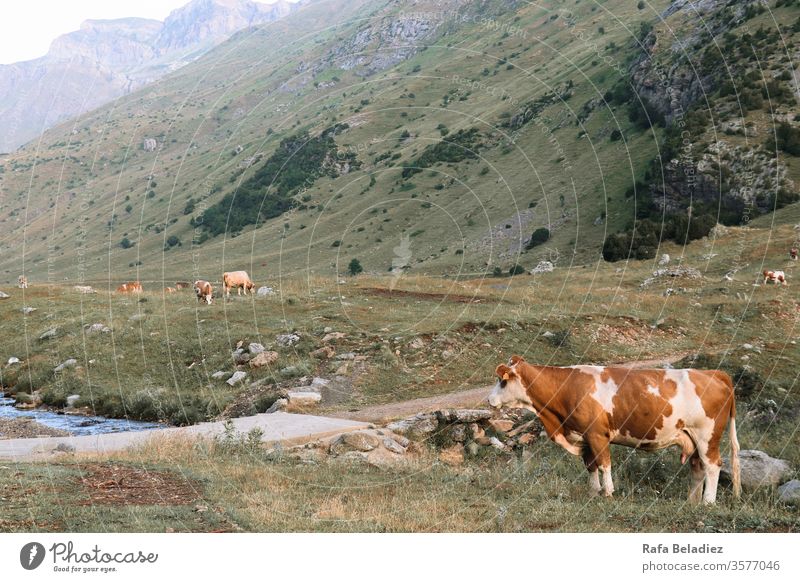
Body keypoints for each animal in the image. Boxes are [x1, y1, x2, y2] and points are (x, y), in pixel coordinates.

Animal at [488, 356, 744, 506]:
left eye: (502, 381)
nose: (489, 399)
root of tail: (713, 373)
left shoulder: (597, 435)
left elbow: (604, 464)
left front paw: (608, 492)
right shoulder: (584, 437)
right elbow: (591, 466)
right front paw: (593, 492)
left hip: (707, 436)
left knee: (713, 466)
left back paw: (707, 502)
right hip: (692, 437)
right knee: (698, 468)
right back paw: (691, 501)